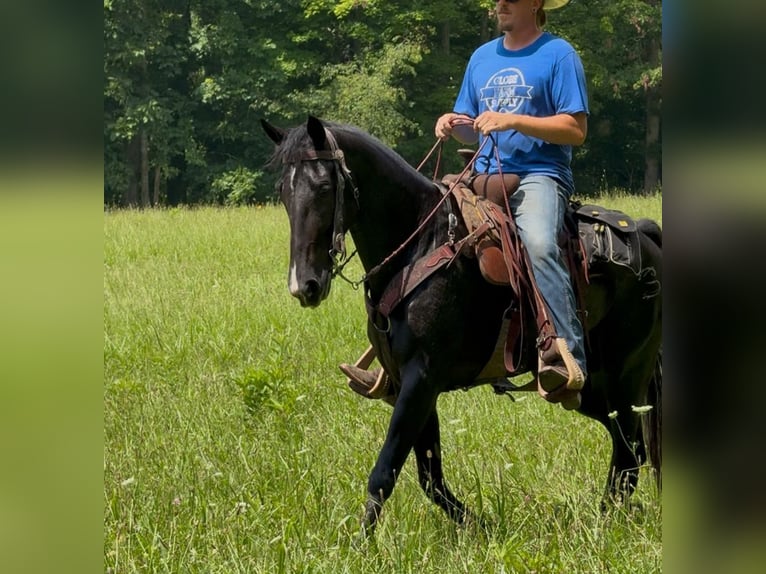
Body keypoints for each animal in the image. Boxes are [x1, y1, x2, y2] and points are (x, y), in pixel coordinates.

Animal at [261, 115, 662, 536]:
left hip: (624, 377)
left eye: (324, 187)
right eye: (284, 192)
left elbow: (385, 472)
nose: (304, 285)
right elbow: (430, 476)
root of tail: (645, 236)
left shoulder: (421, 379)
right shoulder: (411, 383)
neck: (419, 243)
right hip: (594, 392)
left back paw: (605, 523)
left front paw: (359, 542)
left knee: (629, 453)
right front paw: (480, 525)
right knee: (629, 448)